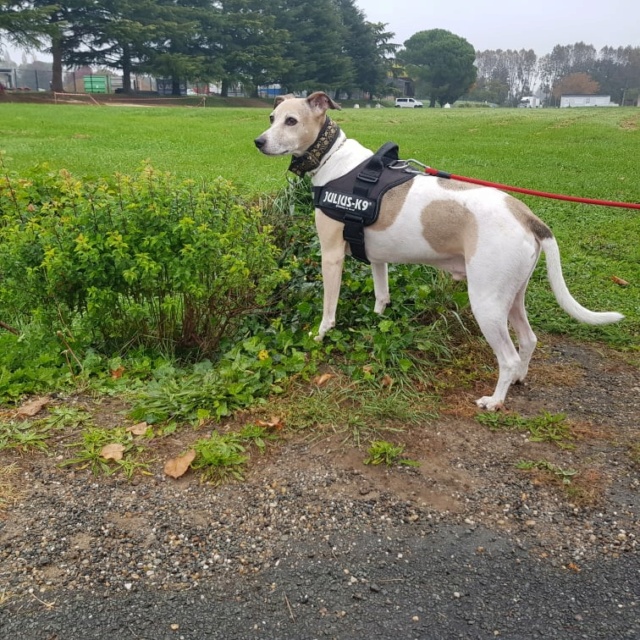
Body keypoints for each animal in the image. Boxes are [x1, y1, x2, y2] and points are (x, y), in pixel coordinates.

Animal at [252, 91, 624, 410]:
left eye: (291, 121)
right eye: (271, 117)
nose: (258, 141)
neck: (333, 158)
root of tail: (526, 215)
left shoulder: (332, 256)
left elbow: (328, 309)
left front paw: (320, 335)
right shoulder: (376, 259)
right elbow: (381, 296)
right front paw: (376, 321)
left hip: (486, 302)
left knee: (509, 356)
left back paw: (495, 400)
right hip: (512, 296)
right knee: (529, 340)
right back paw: (519, 379)